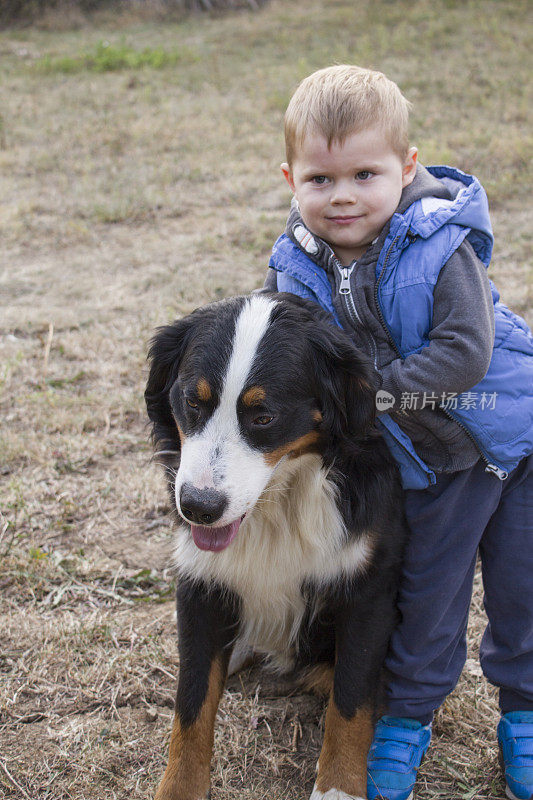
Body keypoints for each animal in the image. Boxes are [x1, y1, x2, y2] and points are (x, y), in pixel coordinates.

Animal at [143, 292, 406, 800]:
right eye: (191, 402)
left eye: (264, 417)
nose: (198, 507)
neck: (276, 509)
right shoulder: (201, 586)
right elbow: (191, 703)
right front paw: (179, 787)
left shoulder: (366, 590)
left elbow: (350, 700)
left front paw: (338, 786)